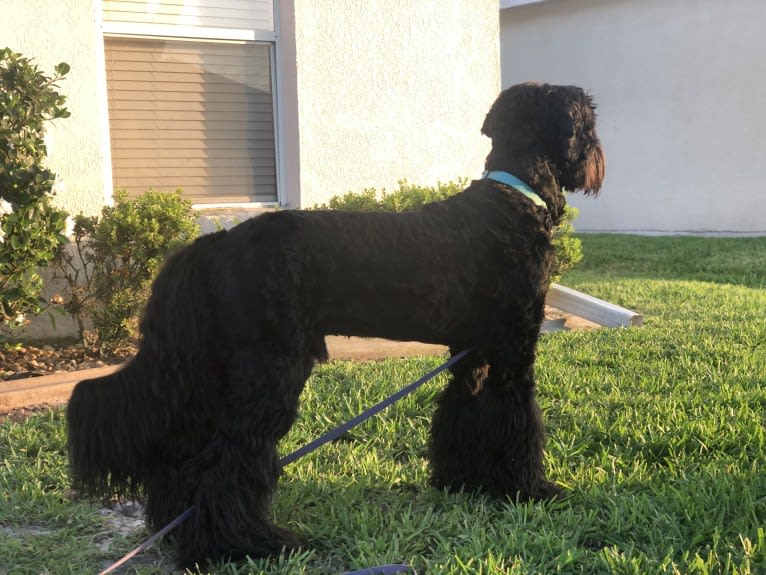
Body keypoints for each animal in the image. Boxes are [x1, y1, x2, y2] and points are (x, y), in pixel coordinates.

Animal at [67, 82, 608, 568]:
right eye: (588, 118)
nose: (599, 155)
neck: (513, 197)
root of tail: (214, 243)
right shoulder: (514, 350)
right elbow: (519, 420)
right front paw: (530, 489)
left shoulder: (470, 354)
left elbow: (464, 412)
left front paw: (465, 483)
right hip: (269, 371)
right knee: (226, 459)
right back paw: (245, 545)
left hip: (216, 374)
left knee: (185, 453)